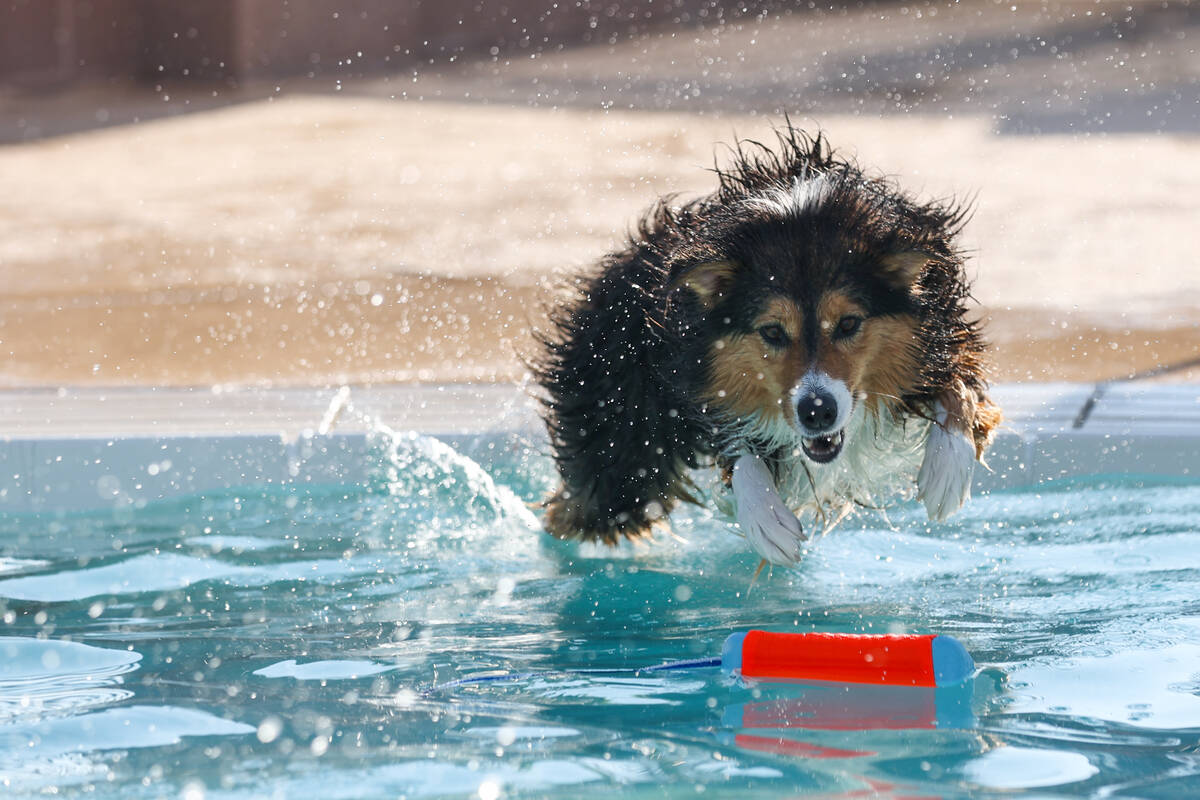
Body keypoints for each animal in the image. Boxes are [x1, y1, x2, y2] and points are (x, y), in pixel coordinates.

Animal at [537, 125, 1003, 563]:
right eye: (773, 332)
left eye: (849, 323)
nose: (817, 412)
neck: (800, 214)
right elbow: (735, 441)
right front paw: (764, 518)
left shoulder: (943, 329)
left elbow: (958, 385)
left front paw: (948, 469)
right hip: (620, 448)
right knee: (582, 507)